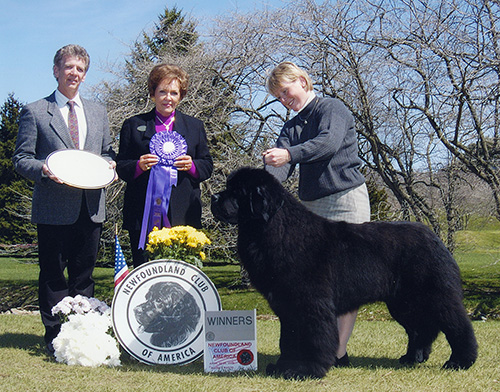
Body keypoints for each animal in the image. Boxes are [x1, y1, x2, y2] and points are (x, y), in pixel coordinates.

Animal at [210, 168, 476, 380]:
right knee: (421, 328)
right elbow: (288, 340)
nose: (213, 196)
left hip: (436, 295)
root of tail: (434, 237)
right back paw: (413, 357)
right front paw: (283, 367)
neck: (274, 229)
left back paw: (460, 361)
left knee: (458, 325)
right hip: (403, 302)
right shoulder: (287, 306)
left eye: (237, 192)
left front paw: (307, 370)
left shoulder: (311, 304)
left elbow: (312, 338)